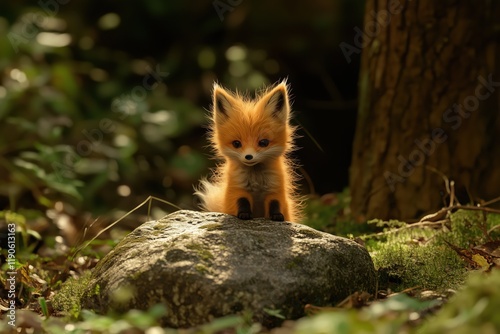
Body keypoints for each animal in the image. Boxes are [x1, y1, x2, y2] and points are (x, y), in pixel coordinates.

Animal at [192, 80, 302, 222]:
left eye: (263, 142)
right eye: (236, 143)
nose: (249, 156)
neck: (256, 179)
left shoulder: (275, 190)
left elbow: (275, 204)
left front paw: (277, 216)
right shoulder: (238, 189)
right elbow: (242, 201)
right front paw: (244, 214)